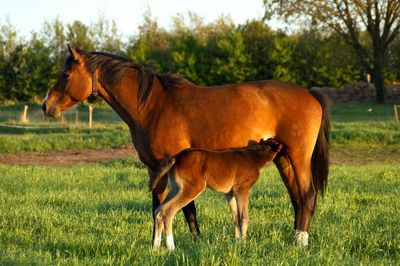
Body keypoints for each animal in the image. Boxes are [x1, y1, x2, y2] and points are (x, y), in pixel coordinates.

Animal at [148, 138, 282, 250]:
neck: (254, 157)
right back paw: (171, 247)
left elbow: (235, 217)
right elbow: (243, 217)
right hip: (193, 188)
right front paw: (244, 244)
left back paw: (156, 247)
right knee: (167, 210)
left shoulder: (229, 193)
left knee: (158, 210)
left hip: (176, 188)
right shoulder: (242, 189)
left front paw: (237, 242)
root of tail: (176, 156)